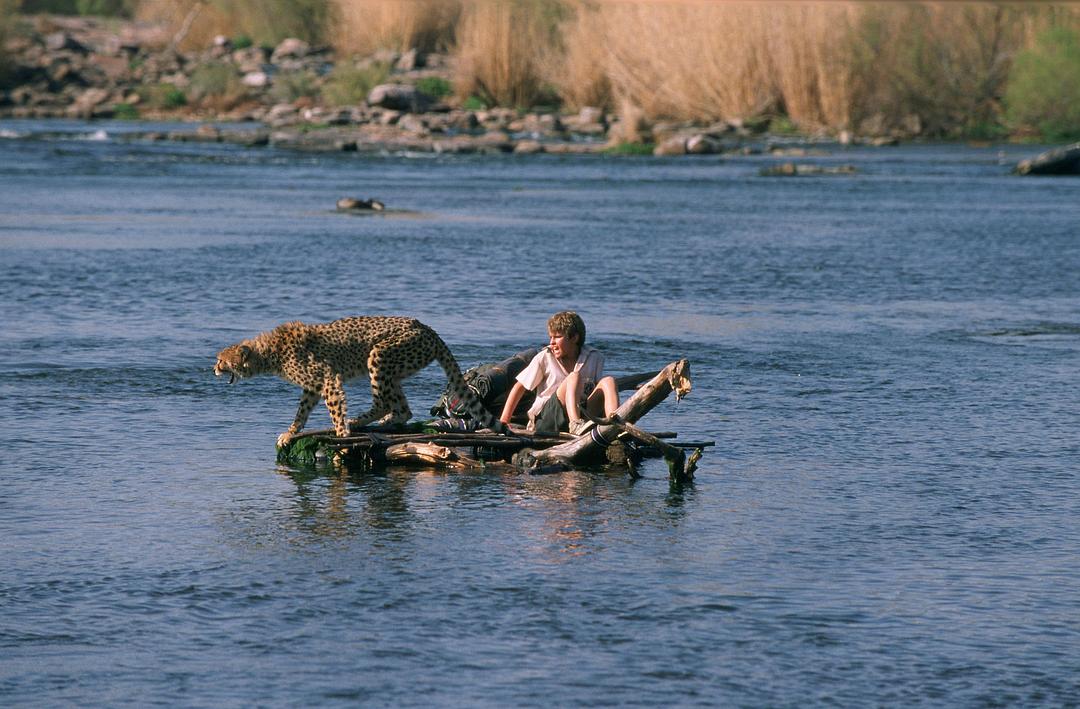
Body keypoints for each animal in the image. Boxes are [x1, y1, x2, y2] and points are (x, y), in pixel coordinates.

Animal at [217, 317, 511, 445]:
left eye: (221, 360)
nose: (213, 369)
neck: (269, 353)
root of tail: (427, 328)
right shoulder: (312, 387)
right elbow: (301, 412)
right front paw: (291, 432)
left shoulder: (328, 377)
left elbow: (334, 407)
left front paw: (341, 434)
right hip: (393, 368)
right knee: (402, 408)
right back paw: (382, 422)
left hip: (379, 355)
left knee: (385, 402)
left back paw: (357, 422)